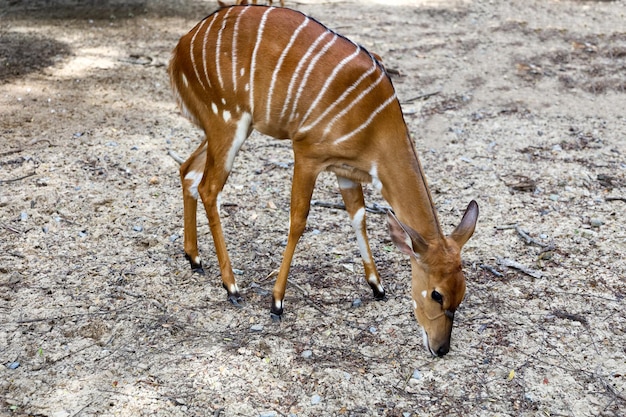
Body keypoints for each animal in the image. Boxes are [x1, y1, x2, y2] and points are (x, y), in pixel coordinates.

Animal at [168, 4, 476, 354]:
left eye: (463, 292)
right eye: (437, 294)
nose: (441, 348)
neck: (376, 124)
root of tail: (181, 47)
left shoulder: (345, 171)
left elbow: (358, 216)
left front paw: (377, 286)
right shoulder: (307, 153)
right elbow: (298, 220)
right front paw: (276, 303)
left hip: (221, 127)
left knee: (188, 170)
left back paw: (194, 258)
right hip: (227, 120)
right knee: (208, 187)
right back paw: (232, 287)